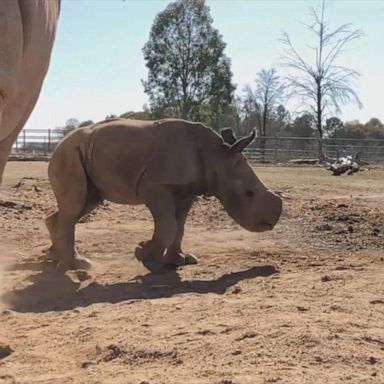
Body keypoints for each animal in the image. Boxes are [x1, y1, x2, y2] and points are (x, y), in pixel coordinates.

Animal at [46, 118, 284, 272]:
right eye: (249, 193)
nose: (271, 222)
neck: (217, 155)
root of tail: (58, 144)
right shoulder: (156, 187)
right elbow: (169, 226)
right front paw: (144, 255)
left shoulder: (188, 190)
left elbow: (180, 227)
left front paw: (179, 261)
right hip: (68, 154)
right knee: (74, 206)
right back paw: (75, 266)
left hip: (85, 156)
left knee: (82, 204)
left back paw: (55, 257)